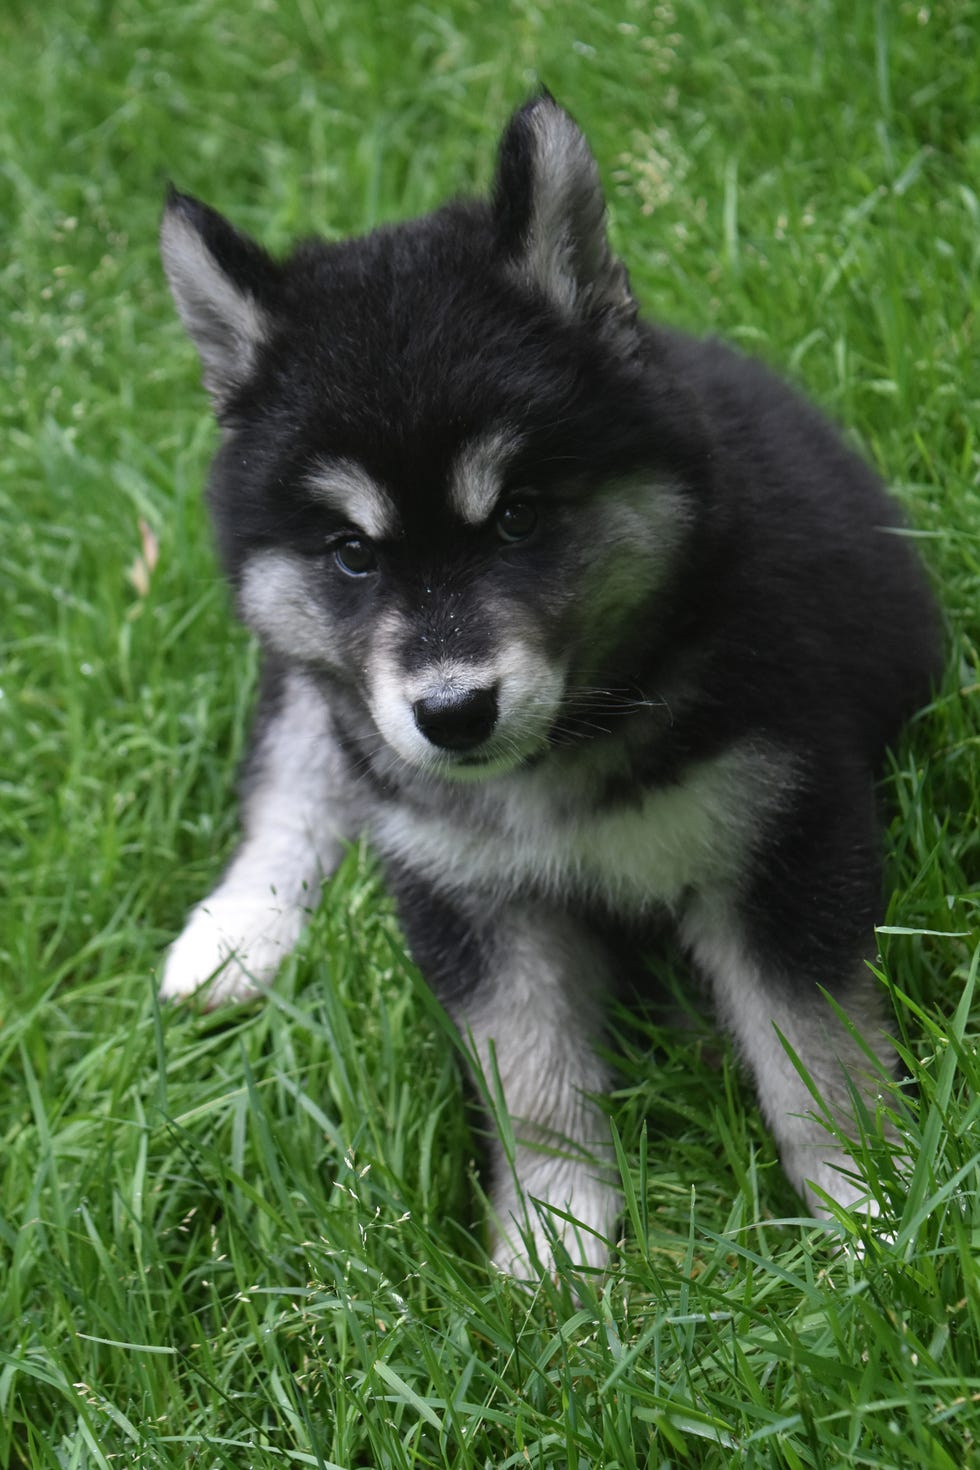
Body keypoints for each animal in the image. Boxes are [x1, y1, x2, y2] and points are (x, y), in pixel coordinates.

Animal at [159, 97, 940, 1281]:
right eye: (352, 553)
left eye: (519, 515)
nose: (451, 715)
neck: (570, 740)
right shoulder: (467, 887)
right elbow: (527, 1072)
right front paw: (552, 1241)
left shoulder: (781, 833)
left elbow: (815, 1048)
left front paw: (872, 1218)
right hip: (326, 693)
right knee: (298, 771)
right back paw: (236, 933)